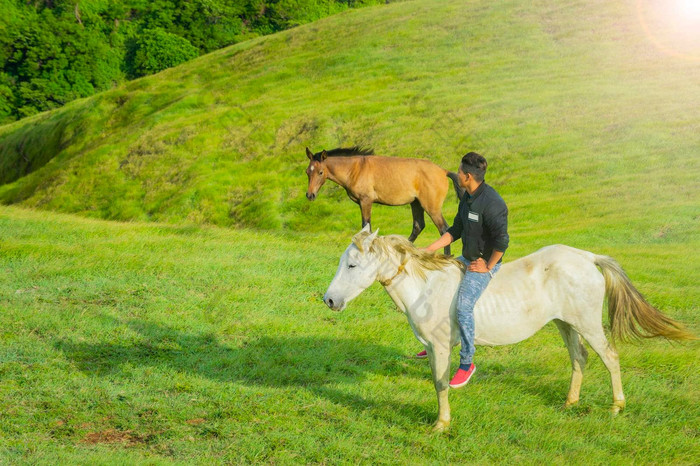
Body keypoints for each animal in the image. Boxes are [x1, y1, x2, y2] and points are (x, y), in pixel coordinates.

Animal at [306, 146, 464, 255]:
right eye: (307, 172)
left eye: (320, 172)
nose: (310, 195)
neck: (355, 169)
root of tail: (443, 171)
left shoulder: (366, 201)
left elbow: (366, 226)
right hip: (416, 203)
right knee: (418, 226)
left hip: (431, 207)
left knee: (444, 229)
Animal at [322, 224, 696, 432]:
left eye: (352, 264)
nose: (329, 300)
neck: (426, 287)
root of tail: (587, 257)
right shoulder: (430, 348)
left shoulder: (441, 347)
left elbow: (441, 383)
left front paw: (441, 424)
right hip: (565, 324)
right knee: (580, 358)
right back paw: (570, 403)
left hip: (588, 323)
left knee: (610, 356)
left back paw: (617, 406)